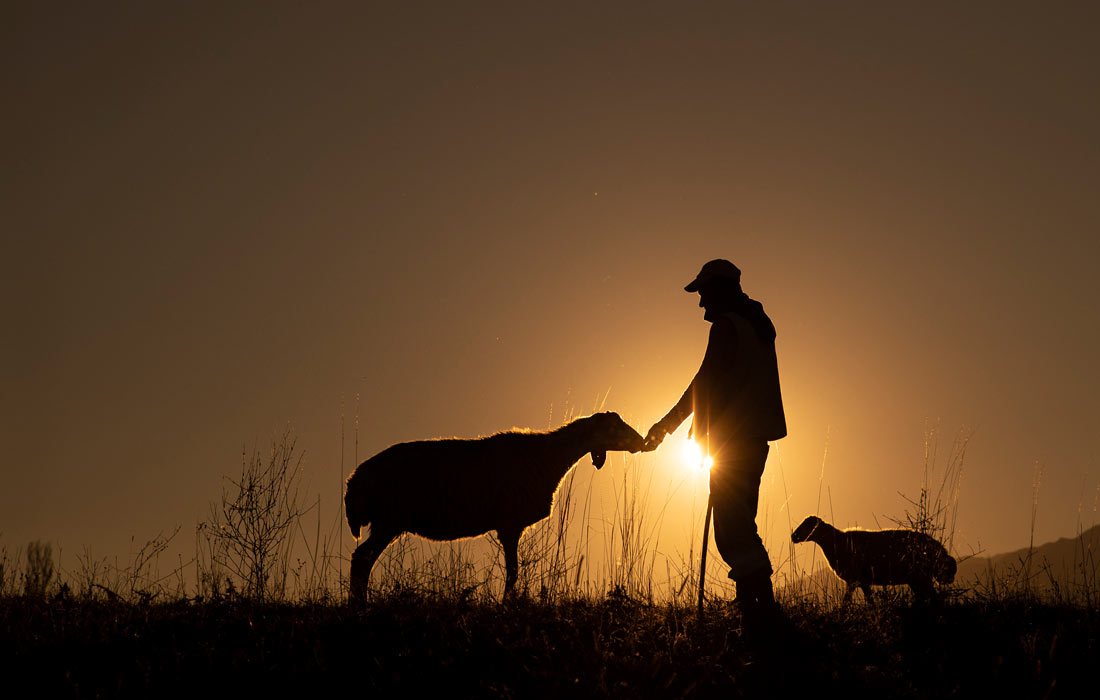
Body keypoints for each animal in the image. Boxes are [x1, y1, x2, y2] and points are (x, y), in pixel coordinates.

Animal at [345, 409, 642, 603]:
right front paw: (506, 605)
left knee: (363, 560)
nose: (640, 442)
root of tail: (356, 479)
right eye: (614, 427)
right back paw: (359, 606)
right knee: (361, 559)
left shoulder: (511, 526)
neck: (549, 457)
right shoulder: (509, 524)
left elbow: (513, 571)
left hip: (387, 523)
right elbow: (513, 572)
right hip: (388, 521)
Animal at [792, 515, 954, 603]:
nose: (793, 536)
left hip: (921, 576)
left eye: (808, 525)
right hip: (916, 578)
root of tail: (939, 549)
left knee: (933, 599)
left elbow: (852, 602)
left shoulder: (856, 579)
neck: (837, 542)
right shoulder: (860, 582)